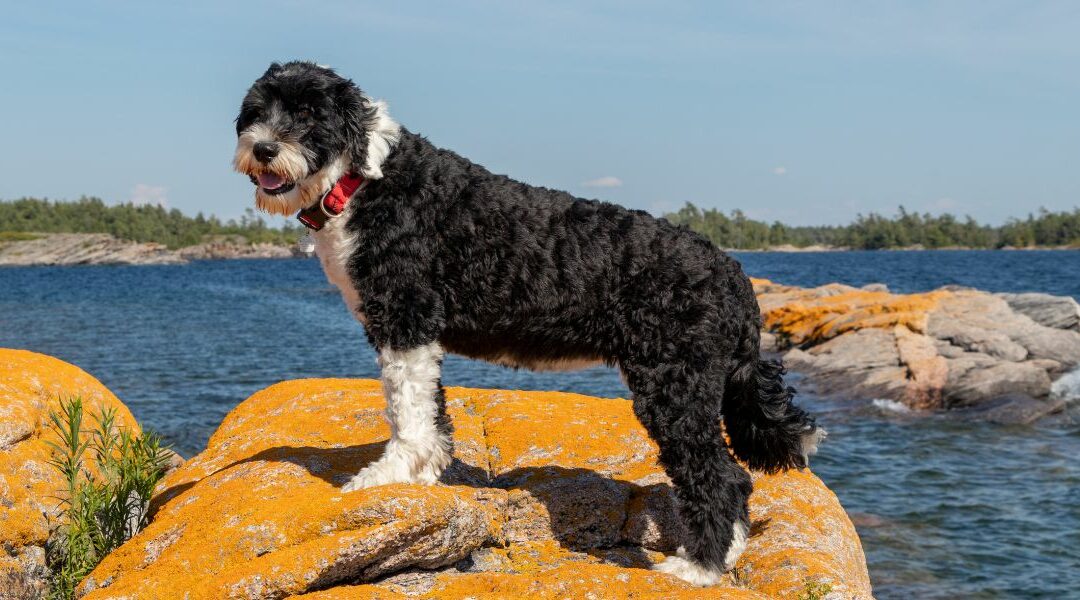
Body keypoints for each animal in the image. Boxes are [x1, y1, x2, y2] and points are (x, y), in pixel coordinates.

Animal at [230, 60, 816, 587]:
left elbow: (406, 410)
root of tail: (733, 274)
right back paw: (727, 555)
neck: (362, 182)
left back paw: (699, 568)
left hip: (675, 385)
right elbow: (430, 411)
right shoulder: (415, 333)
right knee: (736, 480)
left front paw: (389, 476)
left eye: (309, 114)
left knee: (719, 477)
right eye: (257, 111)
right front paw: (424, 472)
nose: (264, 149)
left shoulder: (405, 319)